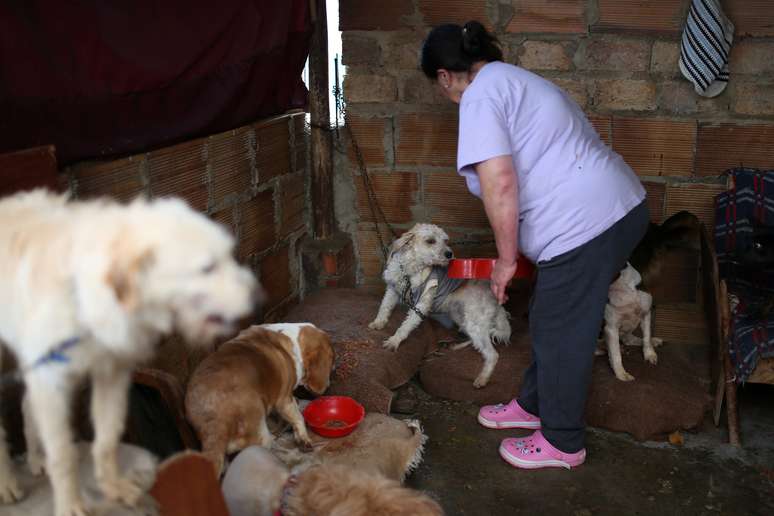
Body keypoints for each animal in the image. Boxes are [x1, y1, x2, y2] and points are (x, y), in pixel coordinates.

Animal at [187, 322, 336, 476]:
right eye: (333, 359)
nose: (334, 372)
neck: (293, 340)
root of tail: (214, 423)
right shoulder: (284, 399)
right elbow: (299, 418)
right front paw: (303, 438)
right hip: (261, 435)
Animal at [372, 222, 516, 388]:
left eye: (446, 240)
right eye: (430, 241)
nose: (449, 254)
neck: (411, 269)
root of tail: (496, 299)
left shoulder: (421, 305)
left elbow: (406, 326)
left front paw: (394, 341)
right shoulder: (392, 290)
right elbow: (384, 307)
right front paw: (378, 323)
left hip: (474, 322)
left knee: (493, 354)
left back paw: (482, 378)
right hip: (462, 318)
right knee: (476, 340)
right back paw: (459, 346)